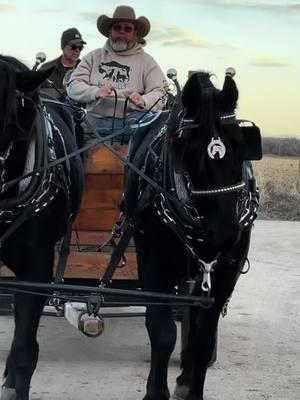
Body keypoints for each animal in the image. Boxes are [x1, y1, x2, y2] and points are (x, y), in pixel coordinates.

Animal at [125, 70, 258, 398]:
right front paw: (155, 391)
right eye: (189, 149)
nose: (224, 233)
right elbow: (162, 332)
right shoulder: (153, 267)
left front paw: (191, 386)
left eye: (241, 146)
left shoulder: (226, 272)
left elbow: (203, 339)